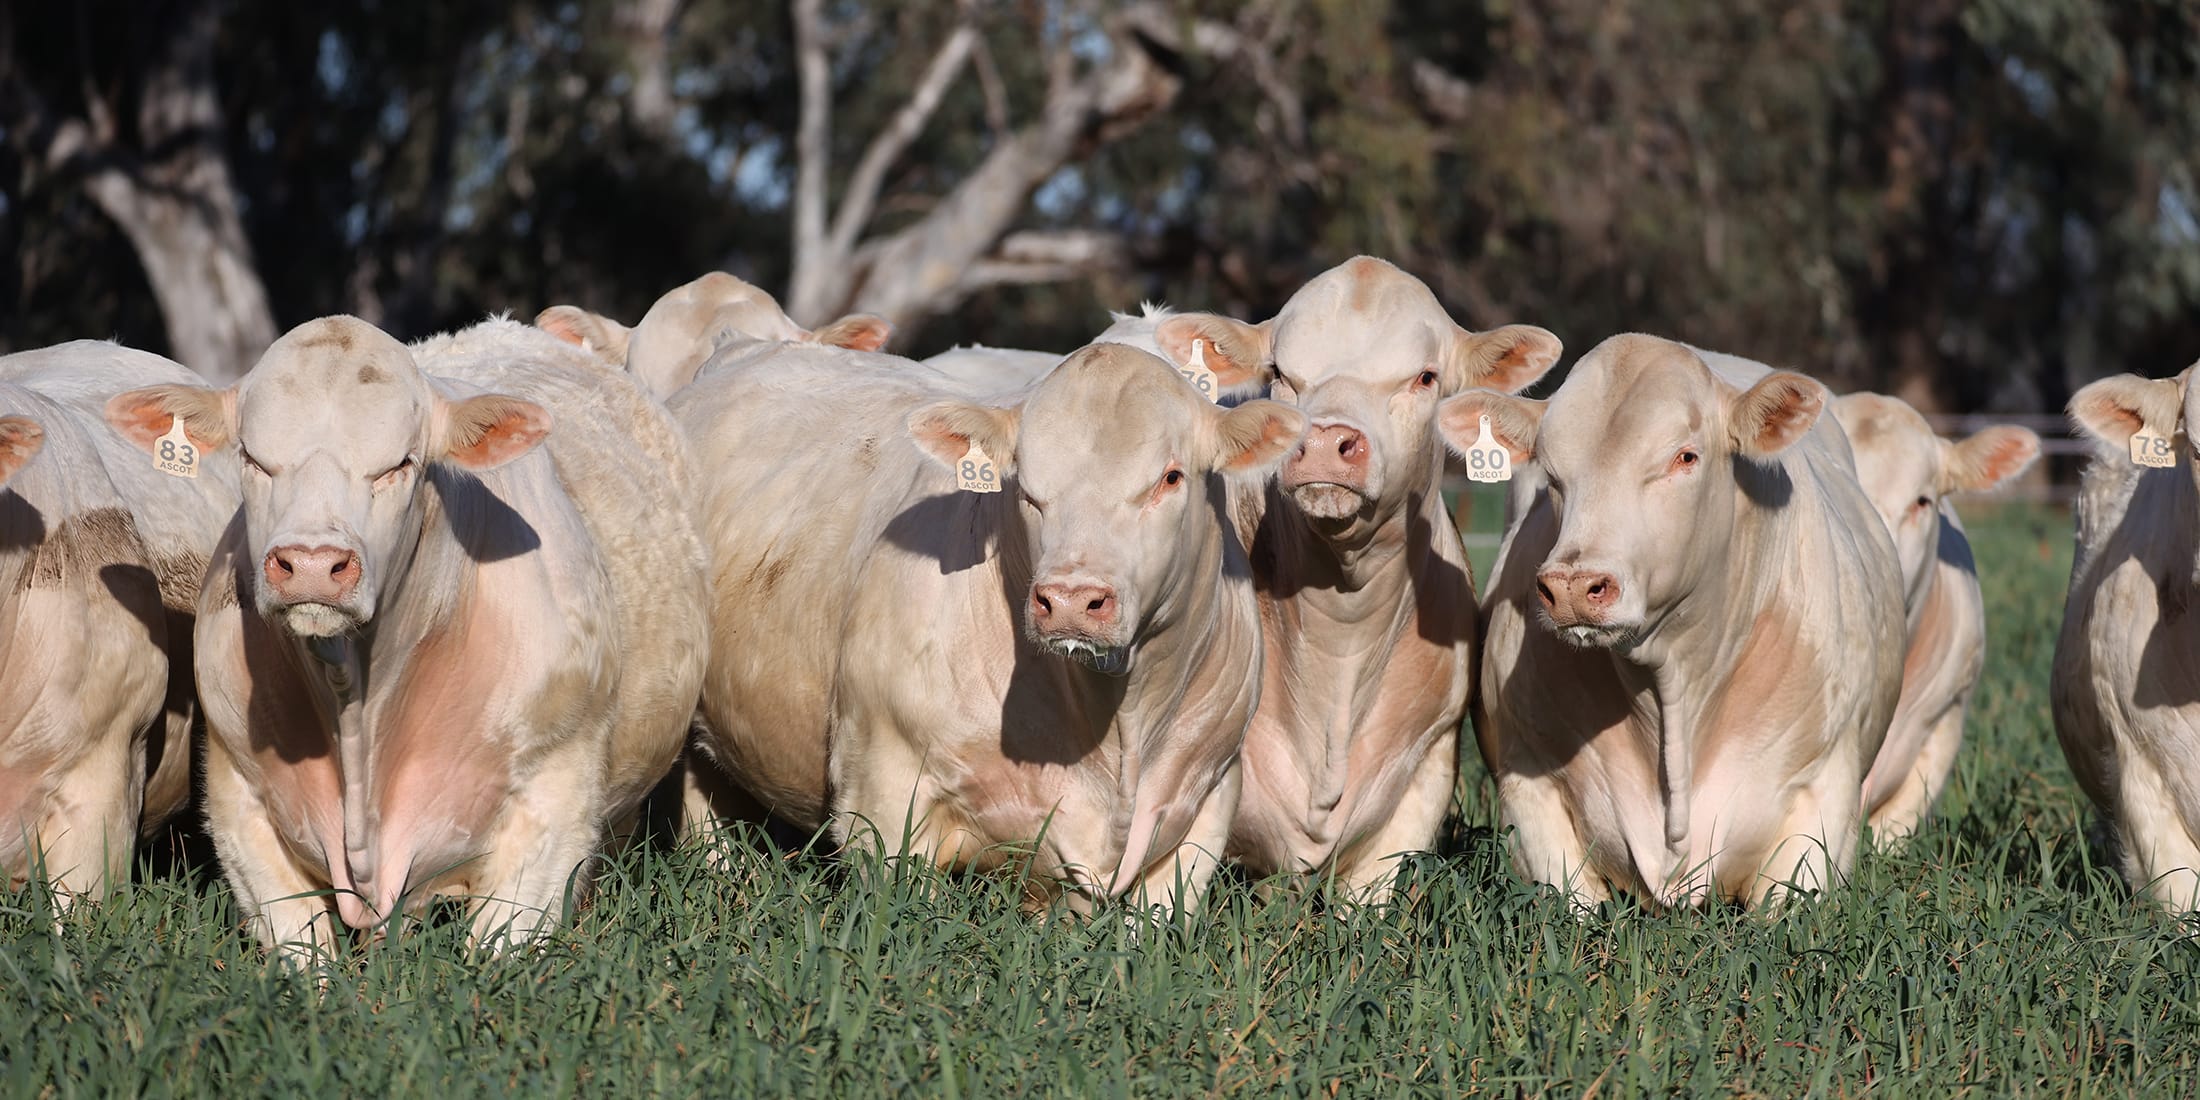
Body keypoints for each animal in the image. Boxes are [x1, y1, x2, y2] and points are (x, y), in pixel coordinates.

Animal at [669, 338, 1304, 915]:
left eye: (1171, 478)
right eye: (1026, 485)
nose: (1070, 600)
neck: (1116, 729)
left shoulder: (1208, 799)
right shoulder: (880, 790)